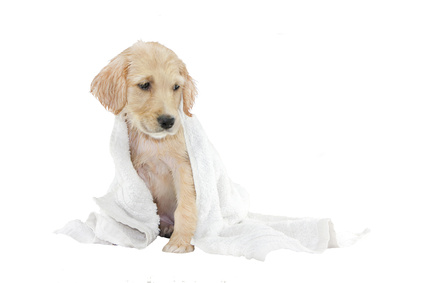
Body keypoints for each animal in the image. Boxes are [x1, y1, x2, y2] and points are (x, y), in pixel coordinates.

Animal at [90, 41, 199, 254]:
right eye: (145, 85)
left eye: (176, 87)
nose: (168, 121)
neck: (153, 142)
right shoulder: (137, 173)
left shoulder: (183, 167)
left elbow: (185, 207)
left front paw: (180, 242)